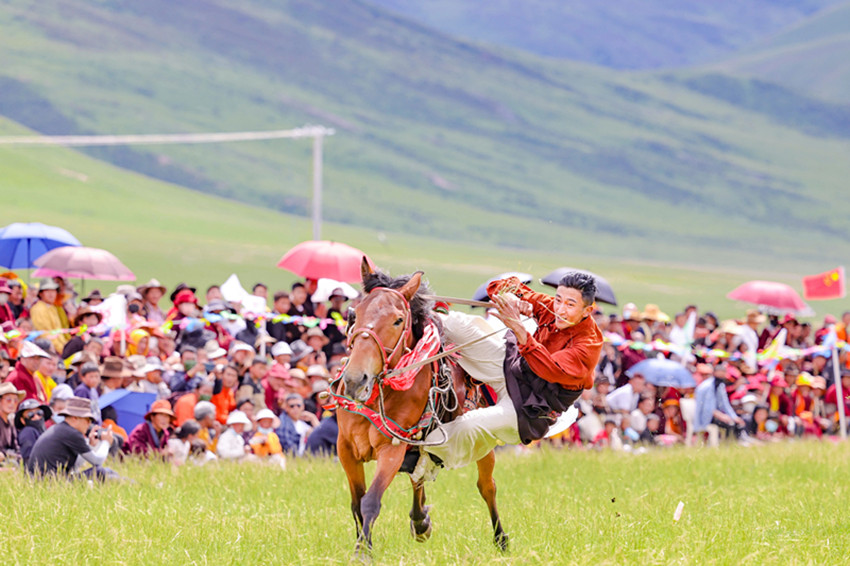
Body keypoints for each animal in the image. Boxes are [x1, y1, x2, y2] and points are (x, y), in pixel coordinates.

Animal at [334, 258, 508, 557]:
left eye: (397, 320)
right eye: (353, 315)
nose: (356, 380)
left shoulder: (392, 449)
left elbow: (371, 501)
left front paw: (363, 553)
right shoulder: (346, 448)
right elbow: (357, 503)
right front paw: (362, 546)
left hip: (482, 443)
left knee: (487, 487)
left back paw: (500, 538)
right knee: (419, 479)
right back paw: (421, 521)